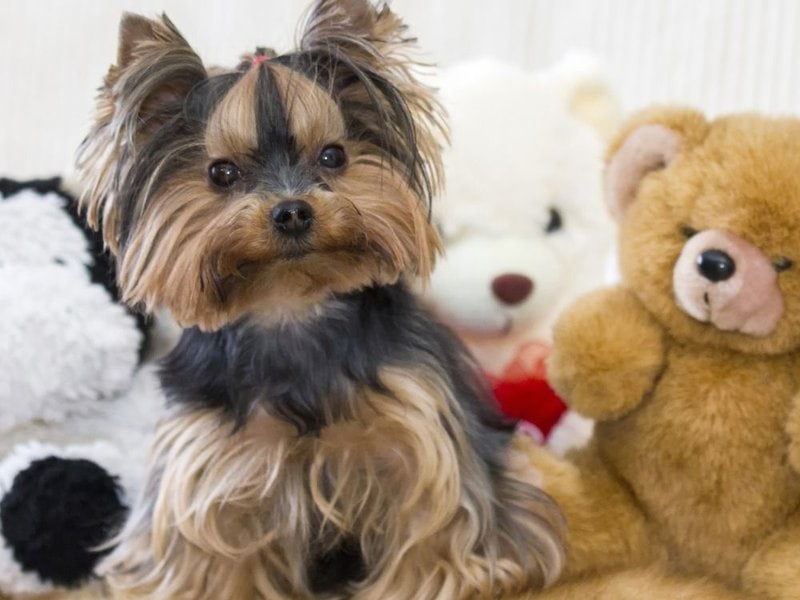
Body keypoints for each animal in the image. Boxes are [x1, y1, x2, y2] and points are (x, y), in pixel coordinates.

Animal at [75, 2, 564, 596]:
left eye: (333, 156)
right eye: (222, 172)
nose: (292, 210)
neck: (292, 307)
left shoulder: (420, 439)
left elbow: (429, 541)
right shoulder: (213, 465)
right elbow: (212, 559)